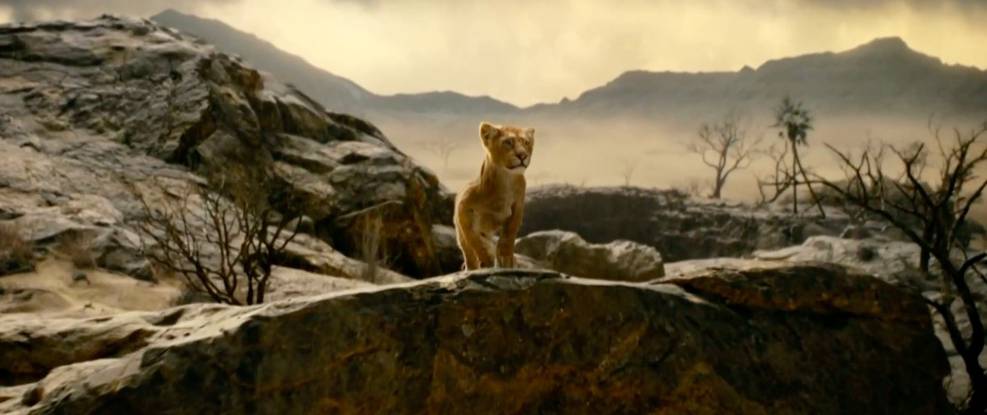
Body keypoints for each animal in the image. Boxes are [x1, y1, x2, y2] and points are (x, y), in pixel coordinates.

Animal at [454, 121, 535, 270]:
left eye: (526, 142)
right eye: (508, 142)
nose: (522, 155)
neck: (505, 180)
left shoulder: (518, 206)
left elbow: (509, 235)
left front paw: (506, 258)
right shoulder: (463, 208)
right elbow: (473, 239)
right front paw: (486, 259)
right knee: (468, 252)